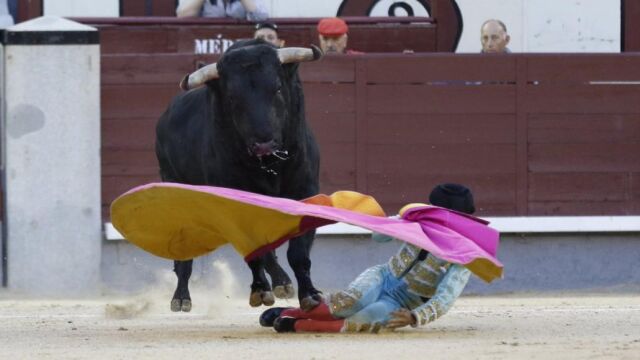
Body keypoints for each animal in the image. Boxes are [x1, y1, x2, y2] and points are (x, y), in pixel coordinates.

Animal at [156, 40, 324, 312]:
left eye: (277, 88)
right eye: (233, 98)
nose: (264, 143)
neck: (269, 166)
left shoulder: (305, 194)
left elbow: (297, 253)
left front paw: (309, 295)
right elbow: (256, 252)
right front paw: (261, 291)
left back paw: (282, 283)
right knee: (185, 255)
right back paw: (181, 298)